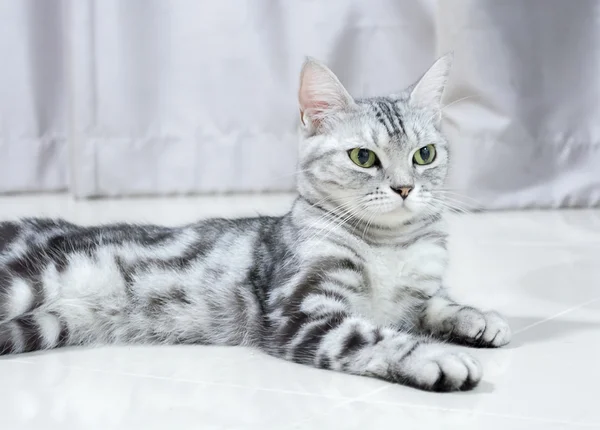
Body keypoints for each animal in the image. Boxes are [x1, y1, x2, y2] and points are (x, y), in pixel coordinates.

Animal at [0, 53, 510, 390]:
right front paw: (435, 357)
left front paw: (478, 318)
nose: (405, 188)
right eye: (363, 157)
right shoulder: (301, 310)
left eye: (424, 154)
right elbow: (370, 336)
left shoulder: (415, 293)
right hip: (23, 284)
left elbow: (437, 303)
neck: (391, 245)